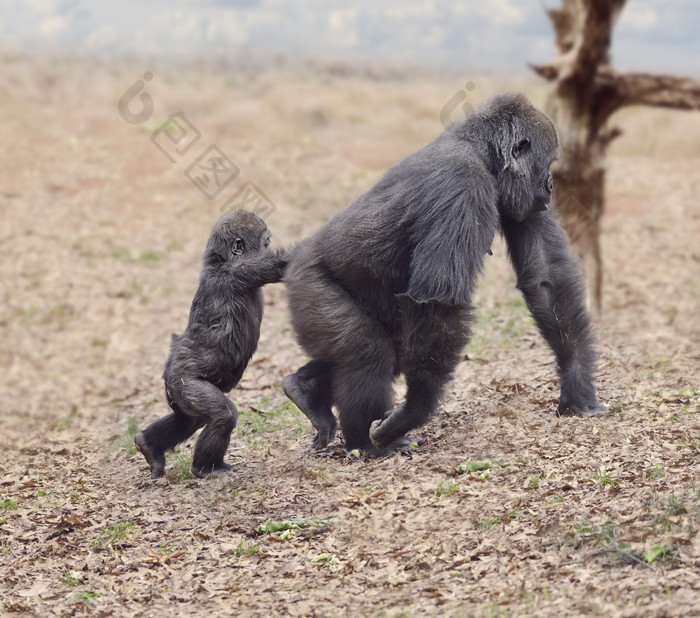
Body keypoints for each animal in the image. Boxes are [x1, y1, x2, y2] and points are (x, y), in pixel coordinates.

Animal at [134, 209, 288, 478]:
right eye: (266, 243)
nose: (268, 247)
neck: (219, 261)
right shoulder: (242, 271)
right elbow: (285, 262)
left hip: (177, 393)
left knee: (189, 420)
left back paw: (149, 446)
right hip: (184, 383)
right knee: (221, 416)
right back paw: (206, 467)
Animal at [282, 94, 604, 454]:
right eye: (546, 163)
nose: (550, 186)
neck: (481, 152)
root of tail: (295, 258)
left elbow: (546, 276)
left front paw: (577, 386)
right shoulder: (462, 184)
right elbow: (438, 301)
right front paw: (415, 409)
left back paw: (306, 390)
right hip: (309, 287)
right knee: (366, 353)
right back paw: (367, 441)